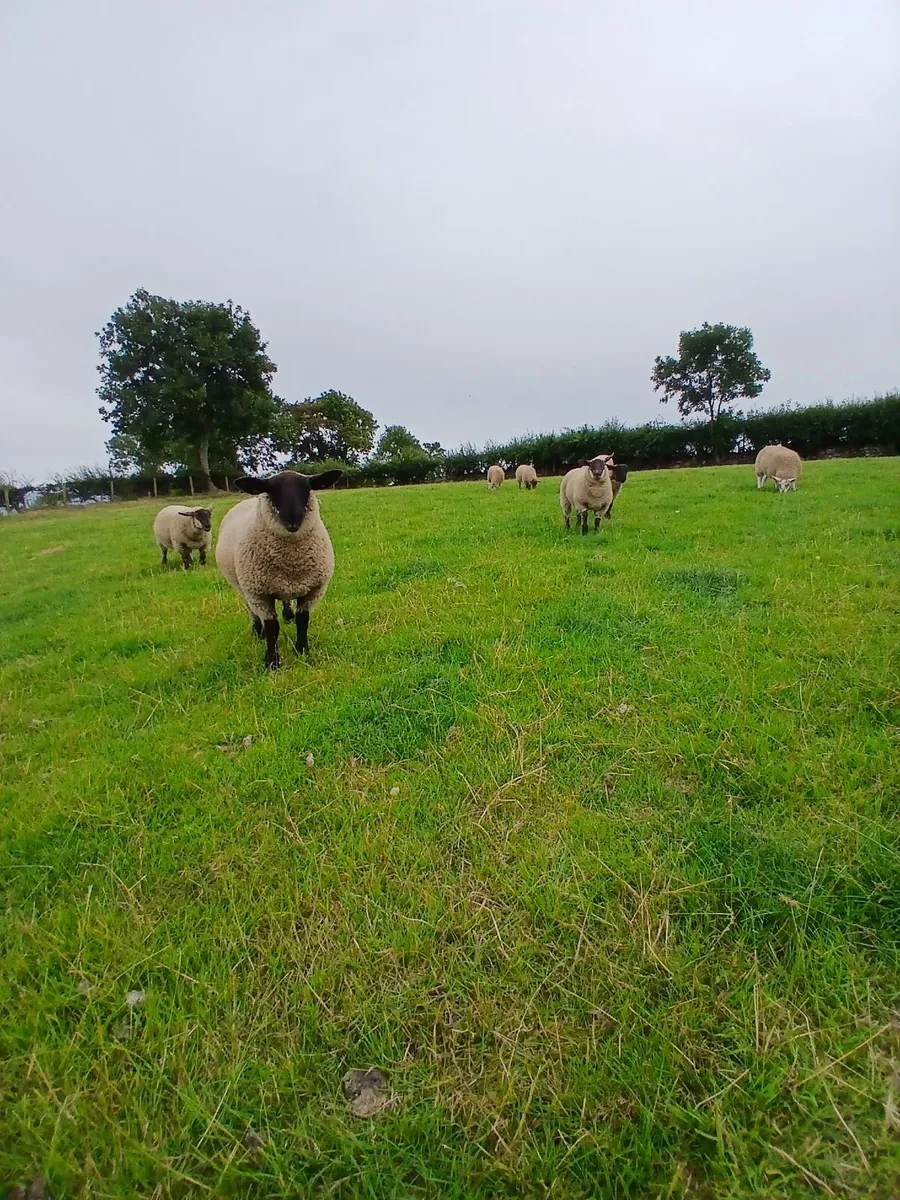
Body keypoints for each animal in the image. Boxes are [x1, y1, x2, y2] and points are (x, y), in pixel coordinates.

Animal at [215, 469, 342, 669]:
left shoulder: (314, 589)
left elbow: (303, 620)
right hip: (244, 587)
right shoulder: (258, 593)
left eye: (306, 488)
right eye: (271, 490)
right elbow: (272, 627)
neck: (291, 563)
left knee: (286, 602)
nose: (292, 520)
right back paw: (257, 632)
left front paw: (302, 651)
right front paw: (271, 661)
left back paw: (288, 615)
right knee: (251, 610)